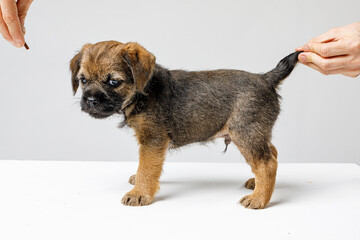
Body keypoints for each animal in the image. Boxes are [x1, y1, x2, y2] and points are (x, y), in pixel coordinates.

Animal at [70, 40, 300, 208]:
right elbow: (147, 166)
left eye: (113, 82)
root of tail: (266, 79)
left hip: (246, 133)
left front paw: (139, 193)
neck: (144, 90)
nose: (90, 100)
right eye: (83, 80)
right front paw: (139, 183)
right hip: (255, 133)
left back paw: (259, 198)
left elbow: (146, 167)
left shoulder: (153, 139)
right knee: (271, 153)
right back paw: (256, 184)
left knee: (267, 163)